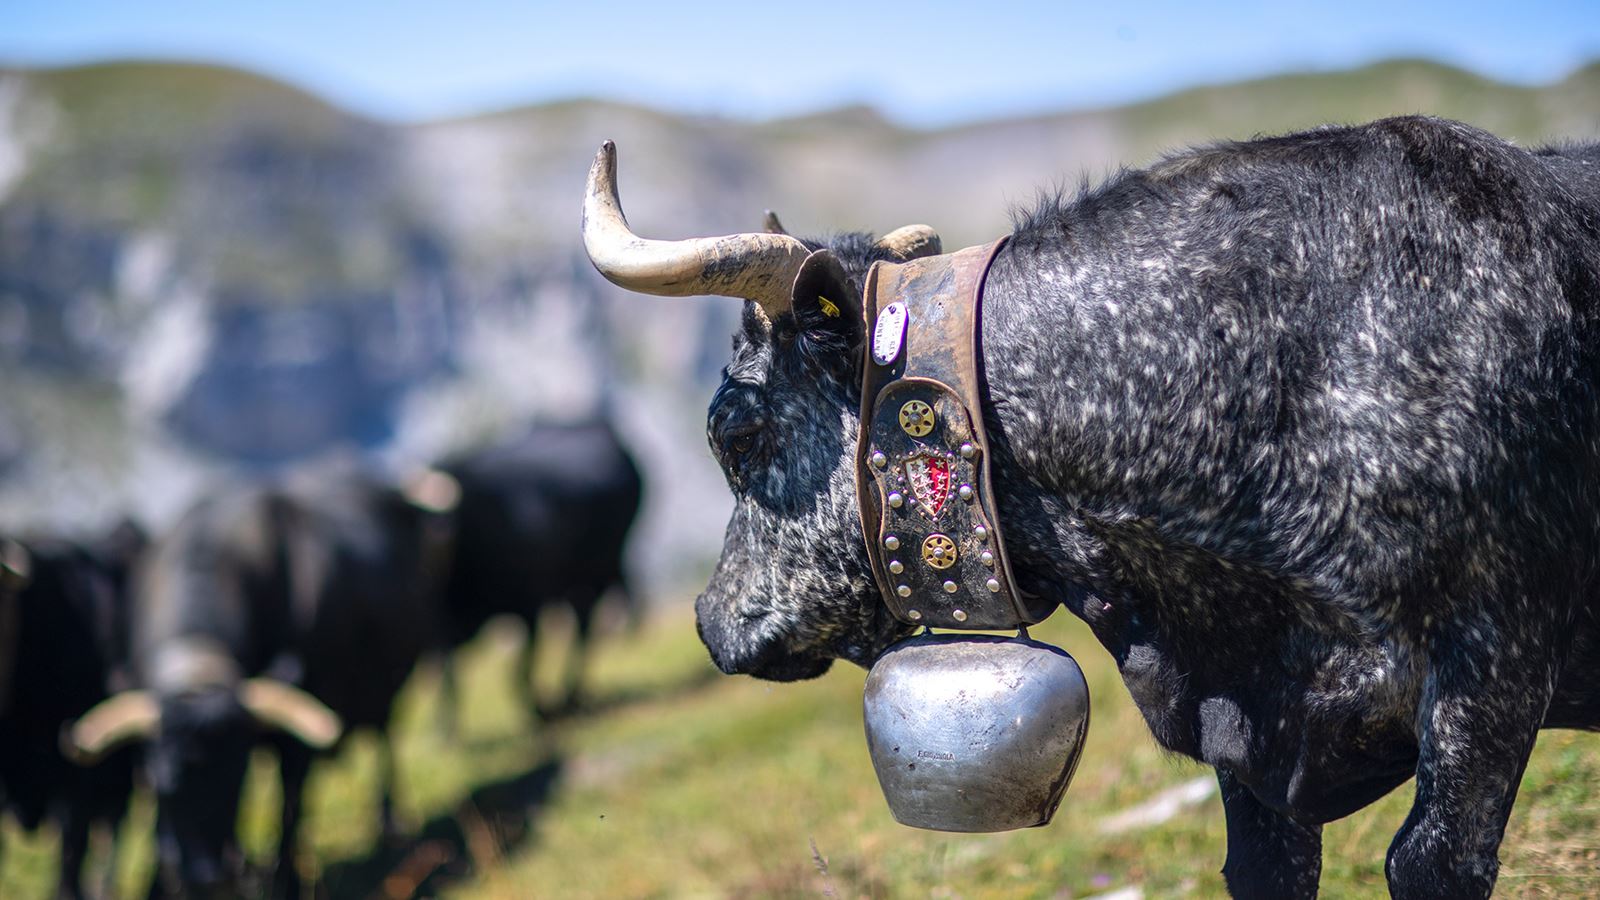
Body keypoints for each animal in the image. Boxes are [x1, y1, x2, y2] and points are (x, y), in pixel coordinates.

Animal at [66, 465, 451, 898]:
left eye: (238, 776)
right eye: (162, 779)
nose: (207, 877)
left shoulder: (297, 740)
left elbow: (291, 805)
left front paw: (286, 879)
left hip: (388, 692)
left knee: (384, 739)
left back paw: (390, 824)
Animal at [433, 417, 643, 731]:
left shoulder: (531, 605)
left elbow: (520, 669)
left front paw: (541, 710)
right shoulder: (442, 624)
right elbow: (449, 671)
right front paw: (447, 726)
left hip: (600, 565)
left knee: (586, 625)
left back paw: (572, 694)